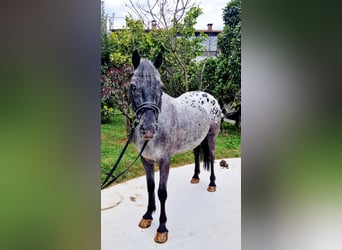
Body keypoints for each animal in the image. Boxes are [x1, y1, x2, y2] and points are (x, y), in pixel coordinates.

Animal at [128, 49, 222, 243]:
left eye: (161, 87)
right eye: (133, 86)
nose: (148, 129)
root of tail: (209, 96)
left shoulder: (164, 161)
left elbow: (161, 192)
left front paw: (162, 228)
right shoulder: (146, 160)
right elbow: (150, 187)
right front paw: (147, 216)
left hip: (212, 136)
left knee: (212, 157)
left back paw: (212, 184)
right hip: (196, 139)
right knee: (196, 154)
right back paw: (195, 177)